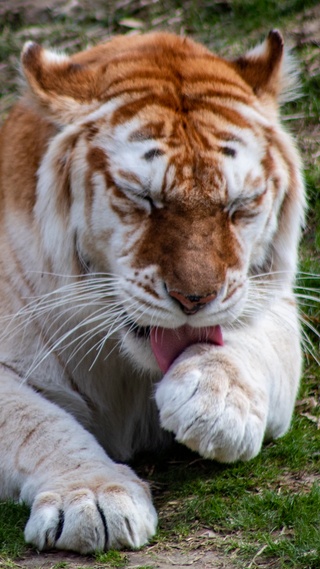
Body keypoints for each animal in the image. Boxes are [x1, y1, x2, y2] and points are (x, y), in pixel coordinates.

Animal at [0, 30, 304, 552]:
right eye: (142, 198)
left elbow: (255, 342)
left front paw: (216, 398)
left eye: (239, 205)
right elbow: (35, 424)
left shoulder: (277, 304)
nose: (195, 299)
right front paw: (92, 495)